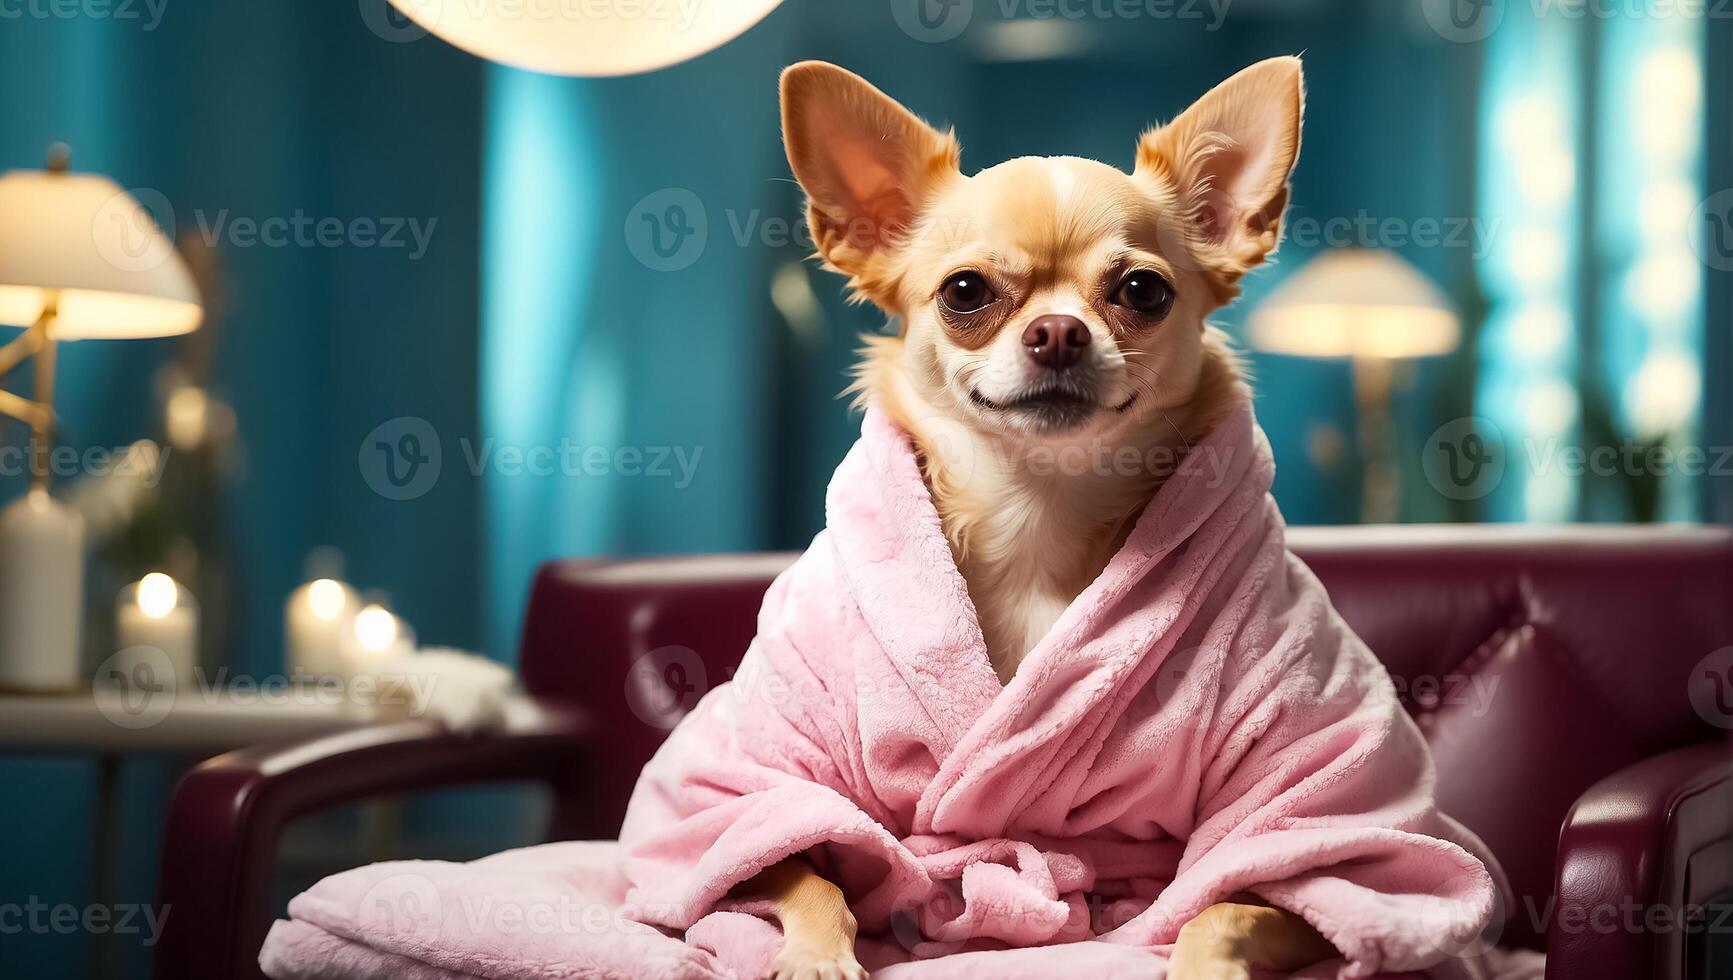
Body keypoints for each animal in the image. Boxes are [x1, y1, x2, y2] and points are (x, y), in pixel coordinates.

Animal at [745, 57, 1337, 971]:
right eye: (964, 292)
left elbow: (1225, 904)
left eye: (1142, 291)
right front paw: (815, 955)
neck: (1037, 512)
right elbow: (803, 866)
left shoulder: (1302, 814)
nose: (1057, 331)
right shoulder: (761, 779)